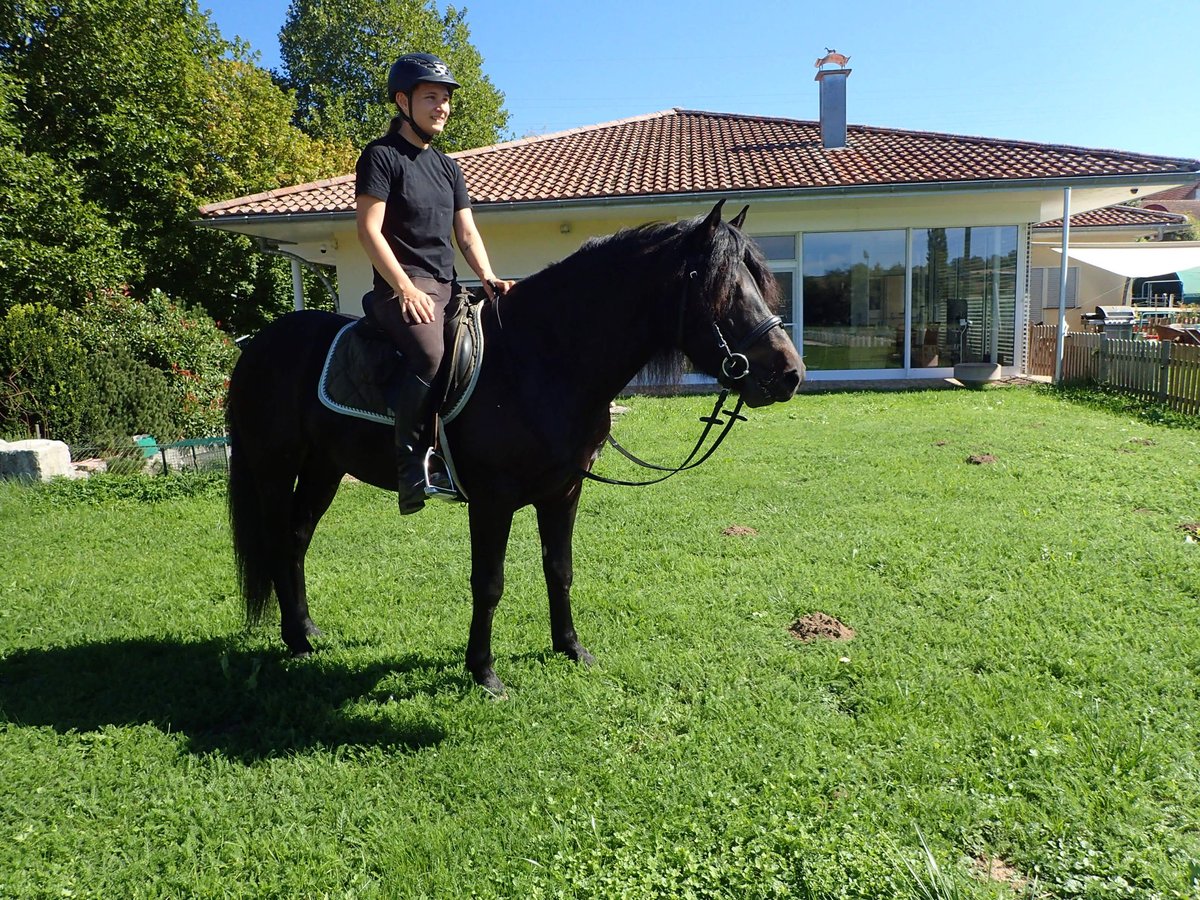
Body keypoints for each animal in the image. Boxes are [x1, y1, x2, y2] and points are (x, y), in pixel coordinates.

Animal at [225, 202, 806, 696]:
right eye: (723, 288)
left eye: (758, 281)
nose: (789, 374)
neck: (540, 361)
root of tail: (258, 345)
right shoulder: (491, 501)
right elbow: (489, 583)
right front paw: (483, 672)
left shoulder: (563, 492)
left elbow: (560, 569)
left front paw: (570, 648)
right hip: (273, 468)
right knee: (278, 540)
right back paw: (295, 641)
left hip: (324, 468)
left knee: (296, 539)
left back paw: (307, 630)